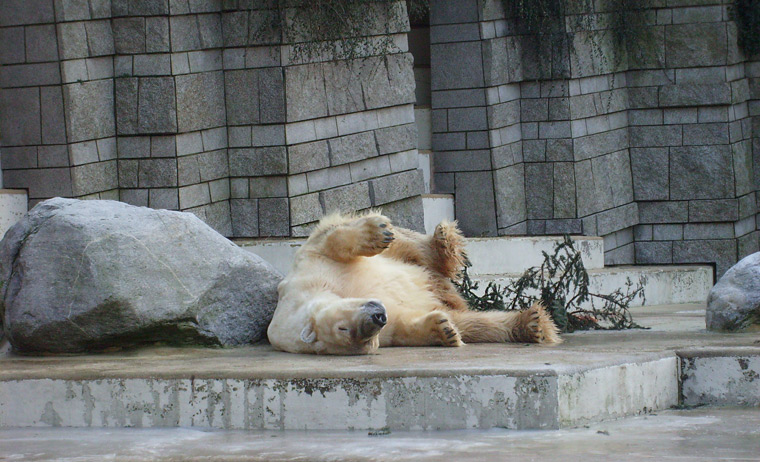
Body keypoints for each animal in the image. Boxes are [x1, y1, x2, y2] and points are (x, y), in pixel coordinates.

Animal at [266, 211, 560, 356]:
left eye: (342, 327)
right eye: (364, 342)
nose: (377, 317)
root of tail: (439, 285)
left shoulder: (307, 272)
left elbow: (329, 240)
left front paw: (374, 232)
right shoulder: (389, 329)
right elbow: (404, 327)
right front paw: (442, 331)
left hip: (403, 255)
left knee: (409, 245)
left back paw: (442, 242)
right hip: (442, 296)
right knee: (474, 322)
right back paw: (533, 325)